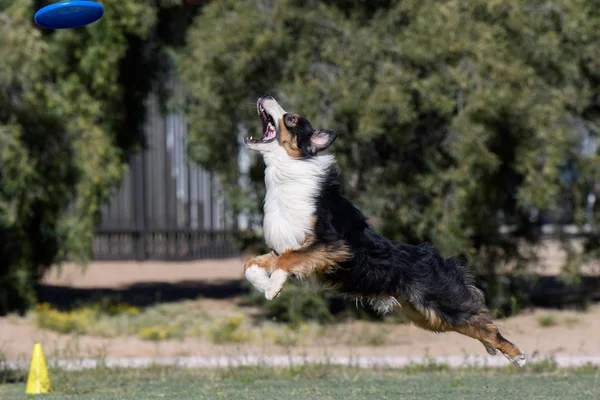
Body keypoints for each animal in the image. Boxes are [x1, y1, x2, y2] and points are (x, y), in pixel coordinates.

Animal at [243, 95, 524, 368]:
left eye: (291, 119)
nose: (265, 95)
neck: (287, 169)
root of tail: (443, 260)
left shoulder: (332, 245)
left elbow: (287, 259)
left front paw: (273, 288)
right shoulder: (285, 247)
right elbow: (252, 264)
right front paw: (264, 283)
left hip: (442, 304)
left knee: (484, 323)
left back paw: (517, 356)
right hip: (428, 316)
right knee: (476, 324)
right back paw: (496, 349)